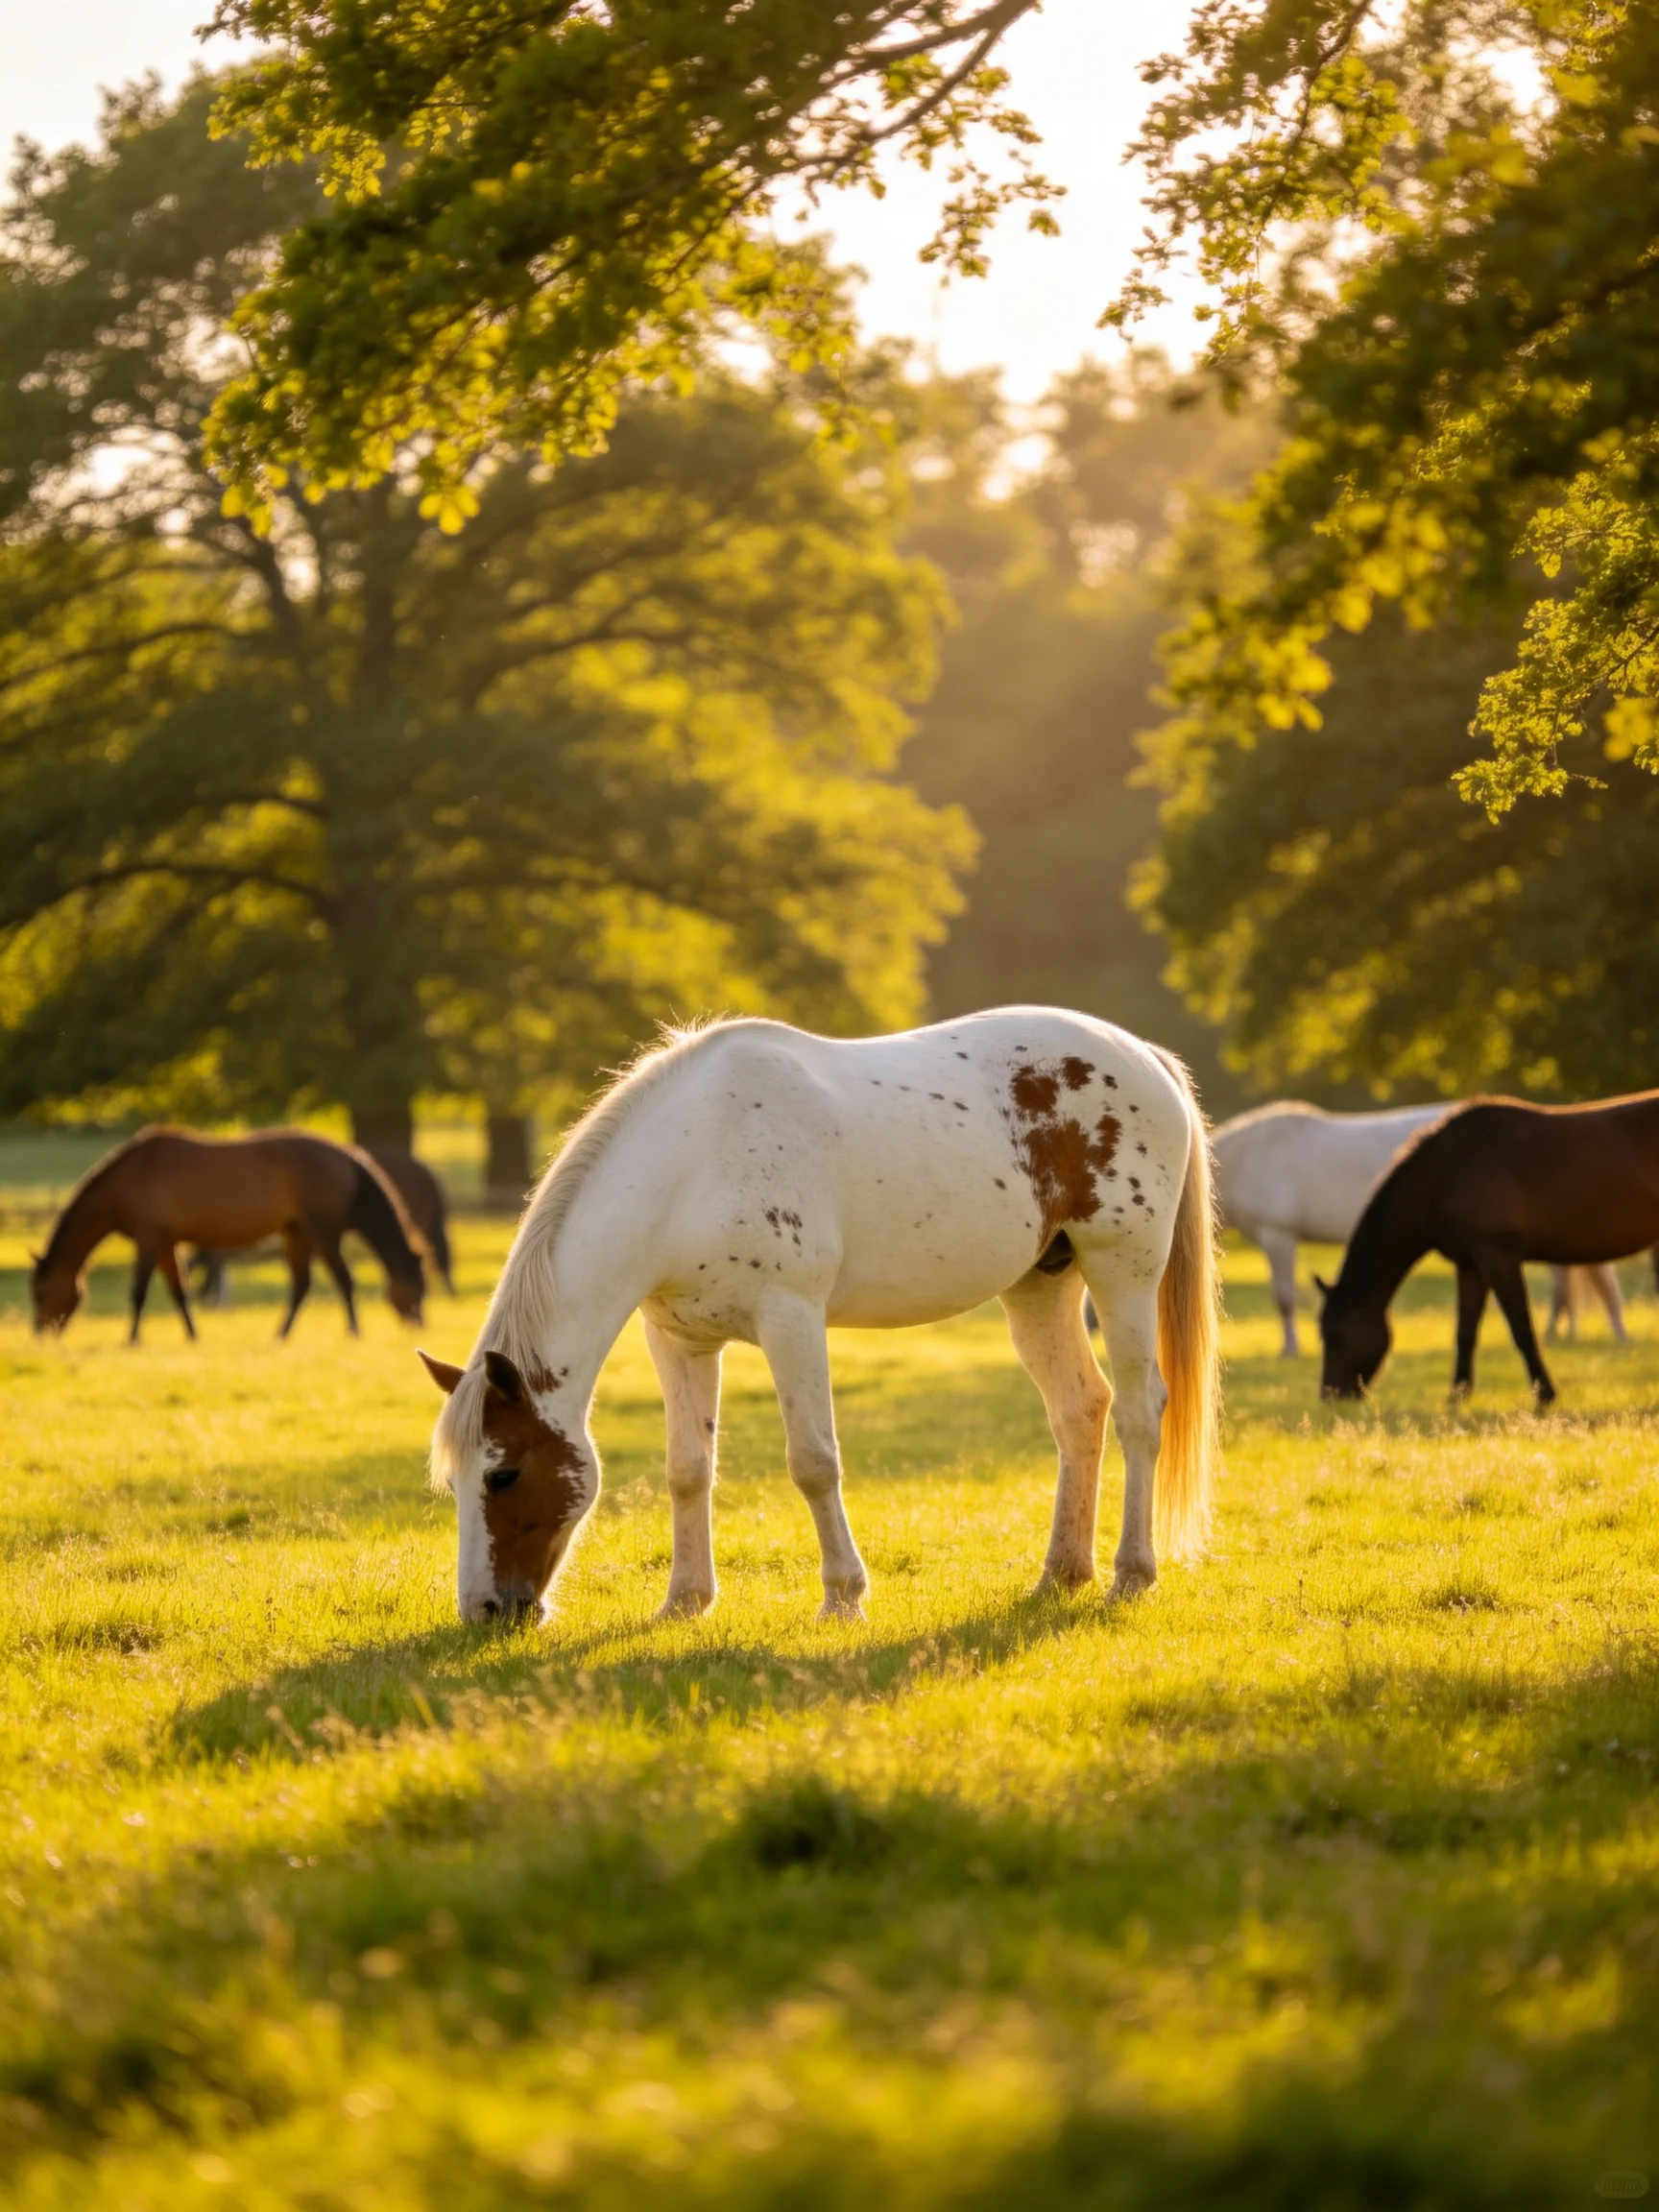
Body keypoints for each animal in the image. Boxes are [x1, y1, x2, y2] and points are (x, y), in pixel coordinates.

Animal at [30, 1128, 427, 1343]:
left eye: (40, 1292)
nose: (41, 1333)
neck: (131, 1176)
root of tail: (347, 1156)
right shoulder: (167, 1242)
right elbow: (179, 1291)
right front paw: (192, 1335)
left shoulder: (149, 1238)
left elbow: (140, 1291)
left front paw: (132, 1339)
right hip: (296, 1233)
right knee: (302, 1285)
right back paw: (280, 1335)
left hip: (323, 1231)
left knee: (343, 1280)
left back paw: (352, 1331)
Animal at [420, 1009, 1222, 1625]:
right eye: (455, 1484)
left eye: (503, 1474)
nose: (484, 1612)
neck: (695, 1164)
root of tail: (1140, 1053)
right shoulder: (679, 1341)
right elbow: (687, 1470)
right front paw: (685, 1602)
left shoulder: (792, 1321)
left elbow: (812, 1463)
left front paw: (843, 1597)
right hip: (1039, 1286)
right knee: (1079, 1411)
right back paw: (1061, 1572)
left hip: (1122, 1270)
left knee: (1139, 1412)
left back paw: (1131, 1573)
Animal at [1318, 1090, 1659, 1405]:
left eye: (1336, 1336)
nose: (1330, 1396)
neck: (1446, 1174)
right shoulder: (1471, 1264)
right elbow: (1465, 1332)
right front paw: (1457, 1396)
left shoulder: (1499, 1257)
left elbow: (1521, 1328)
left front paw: (1544, 1394)